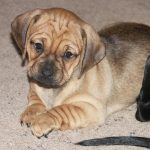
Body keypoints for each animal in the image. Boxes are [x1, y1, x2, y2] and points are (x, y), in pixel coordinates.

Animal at [11, 7, 150, 138]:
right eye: (38, 46)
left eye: (68, 54)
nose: (46, 72)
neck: (51, 89)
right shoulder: (33, 85)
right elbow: (35, 98)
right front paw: (33, 112)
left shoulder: (90, 108)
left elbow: (61, 109)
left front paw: (43, 119)